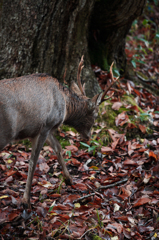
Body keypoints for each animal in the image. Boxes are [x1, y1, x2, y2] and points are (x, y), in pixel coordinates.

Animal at [0, 56, 118, 208]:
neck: (65, 106)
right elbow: (33, 161)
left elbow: (58, 148)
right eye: (96, 115)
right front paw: (26, 201)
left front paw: (69, 179)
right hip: (4, 132)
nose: (89, 136)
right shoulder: (45, 126)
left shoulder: (49, 128)